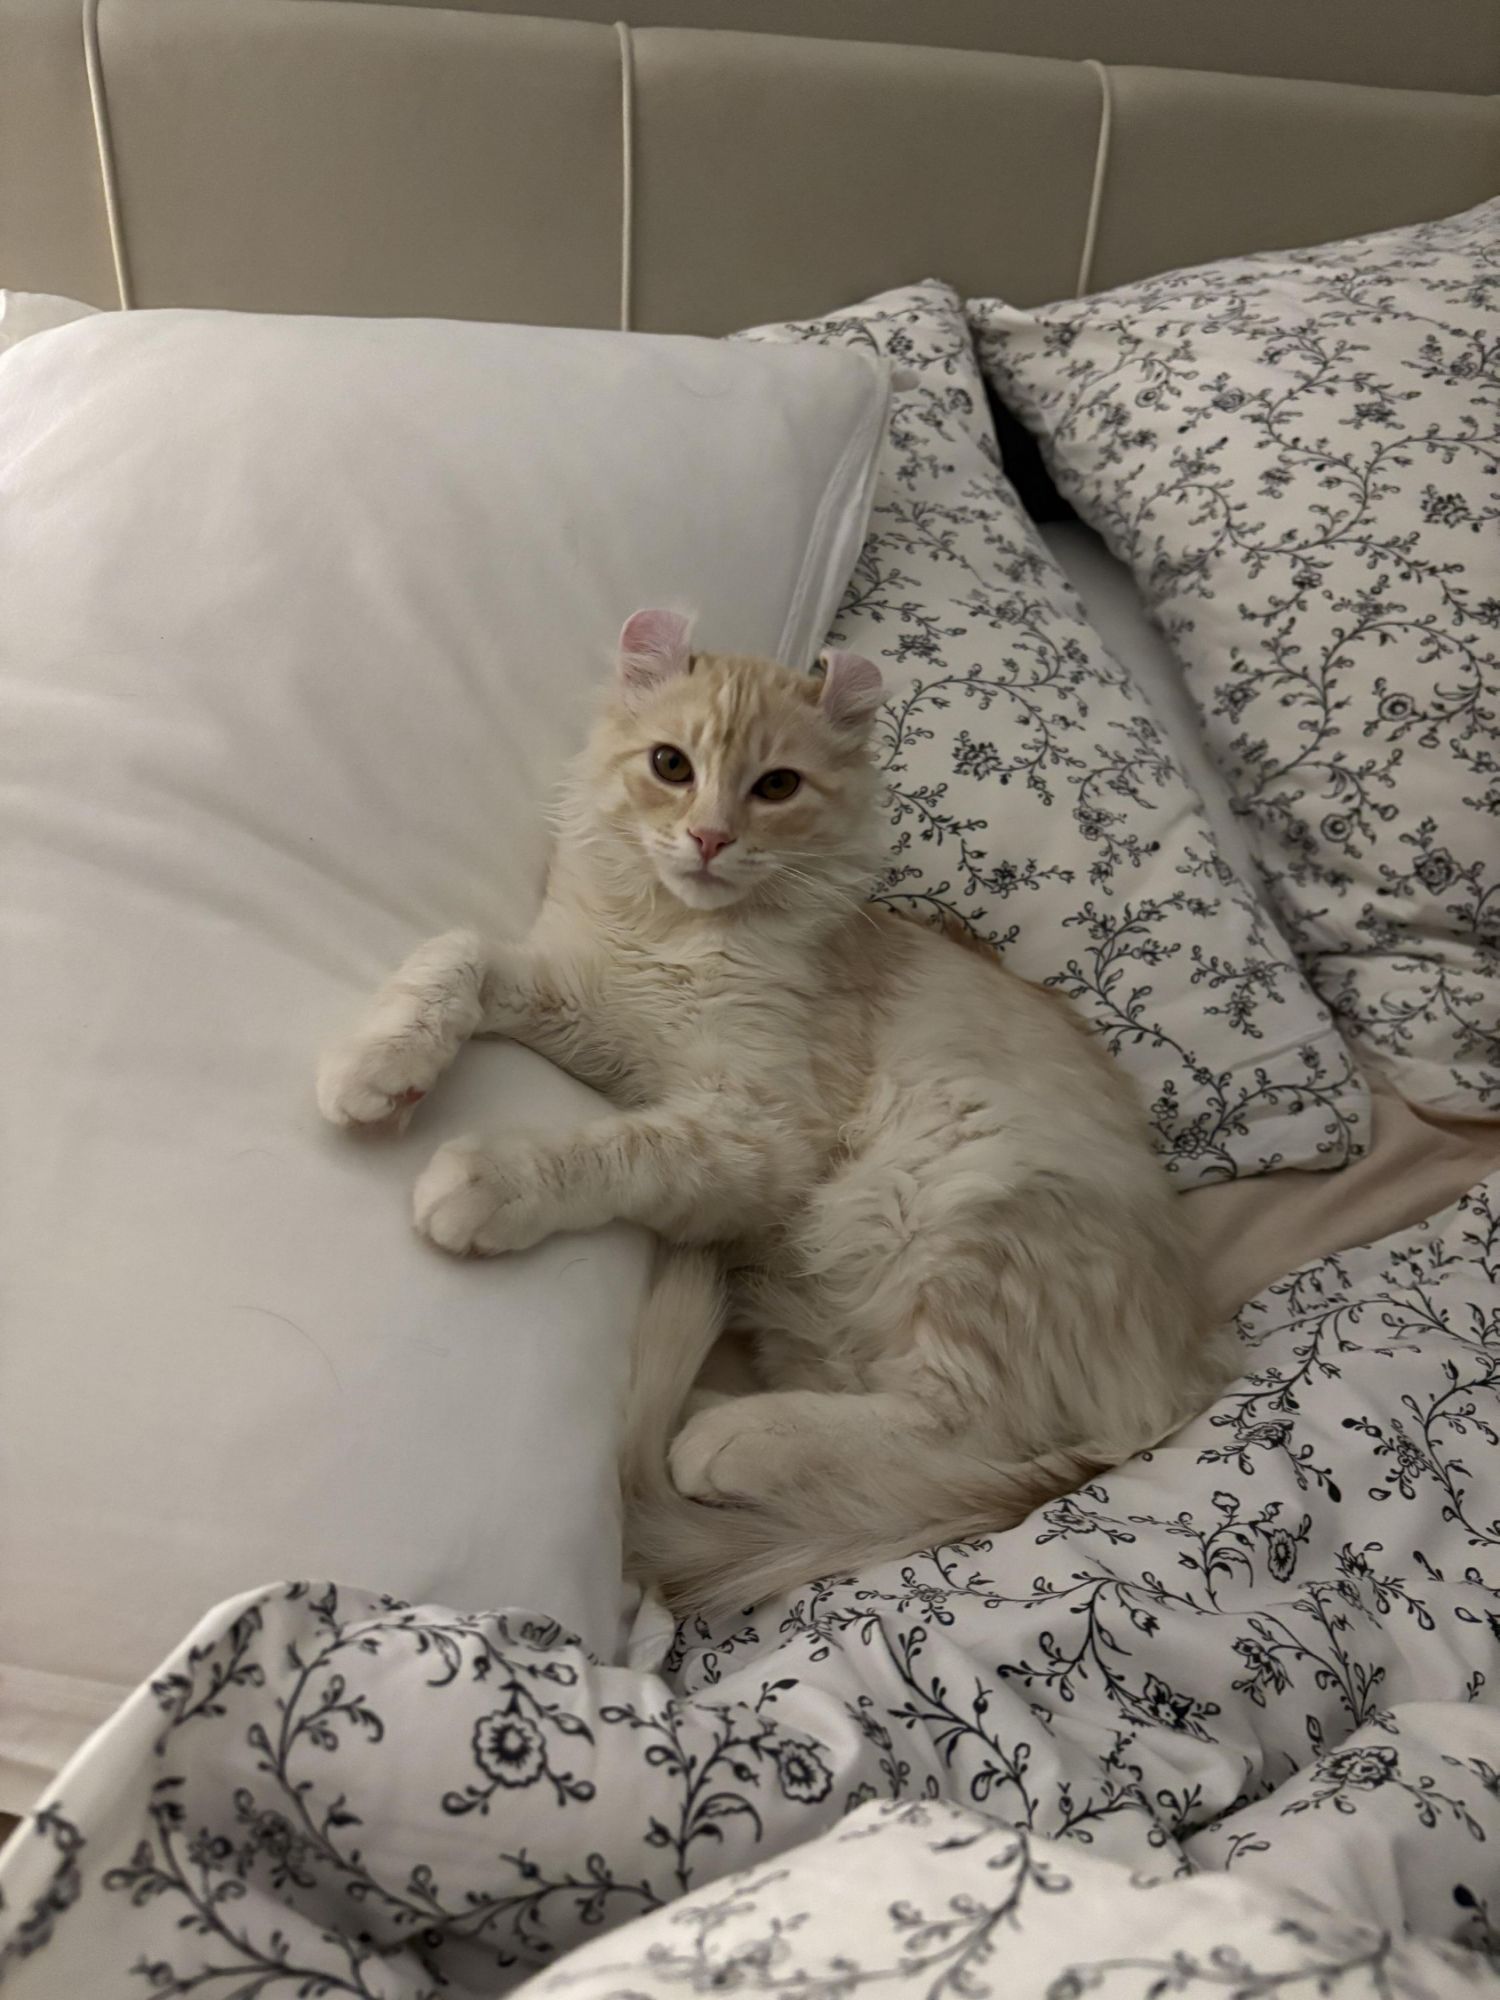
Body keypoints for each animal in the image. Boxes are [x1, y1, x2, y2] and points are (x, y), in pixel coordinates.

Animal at [317, 608, 1234, 1616]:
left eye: (778, 786)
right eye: (671, 766)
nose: (710, 837)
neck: (680, 935)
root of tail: (1186, 1382)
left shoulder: (759, 1129)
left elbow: (613, 1153)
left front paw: (485, 1182)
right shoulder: (592, 1013)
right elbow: (459, 954)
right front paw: (378, 1066)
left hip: (968, 1203)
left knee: (964, 1422)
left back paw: (730, 1440)